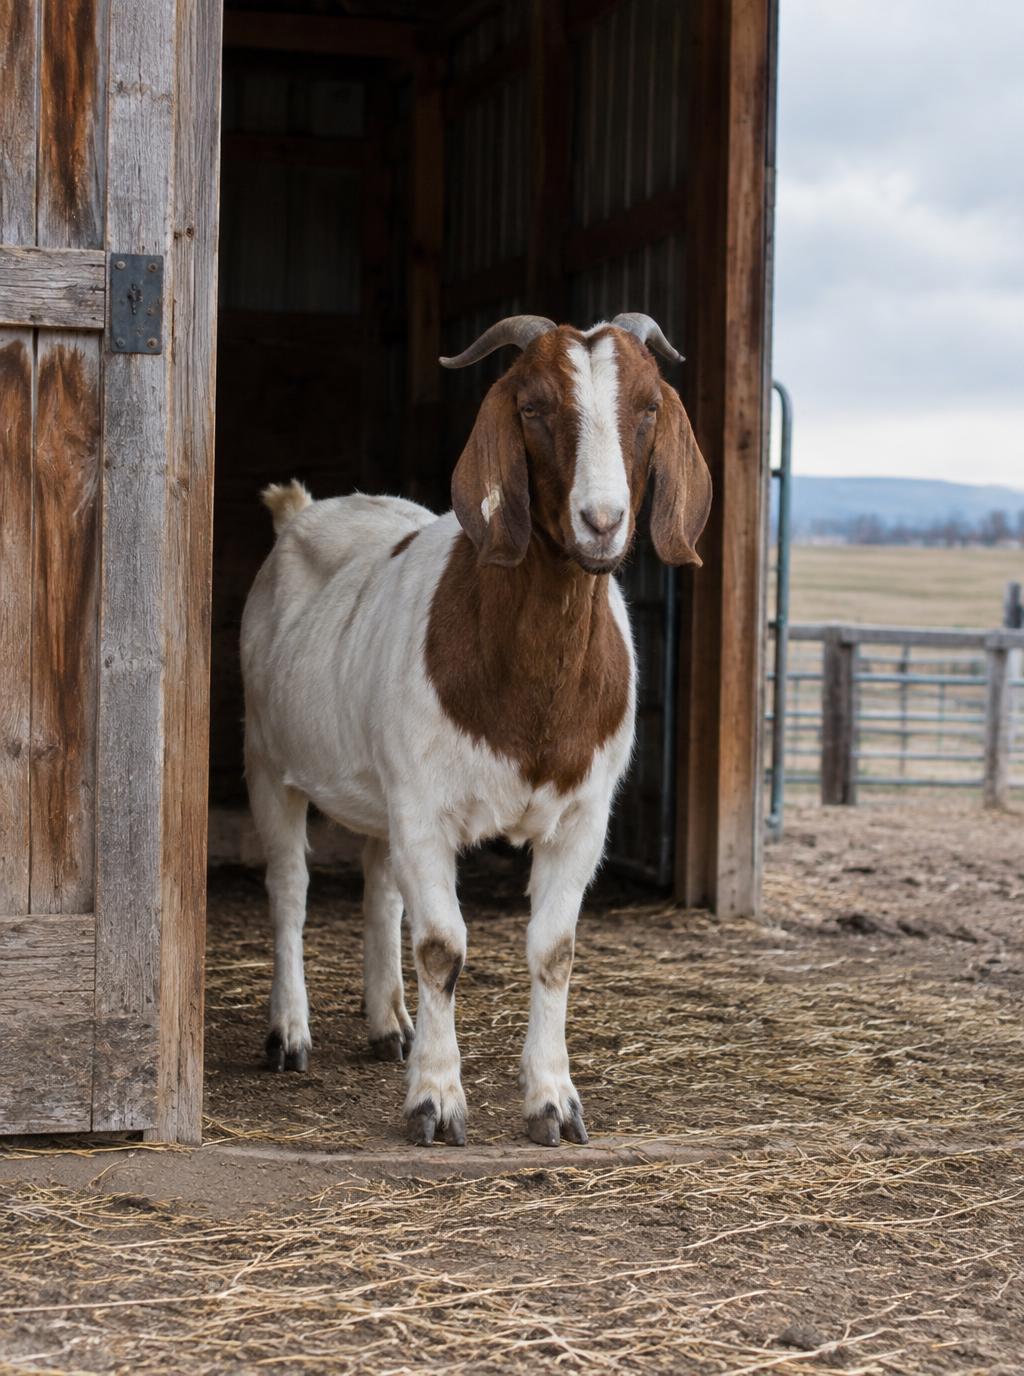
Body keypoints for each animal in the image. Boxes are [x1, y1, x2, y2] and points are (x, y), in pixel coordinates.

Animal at [240, 313, 711, 1147]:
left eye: (650, 406)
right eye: (532, 407)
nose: (602, 522)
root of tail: (302, 511)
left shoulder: (582, 817)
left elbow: (553, 951)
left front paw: (553, 1102)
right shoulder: (424, 806)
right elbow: (442, 947)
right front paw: (435, 1100)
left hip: (378, 791)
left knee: (378, 888)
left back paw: (387, 1024)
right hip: (268, 757)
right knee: (290, 888)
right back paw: (289, 1033)